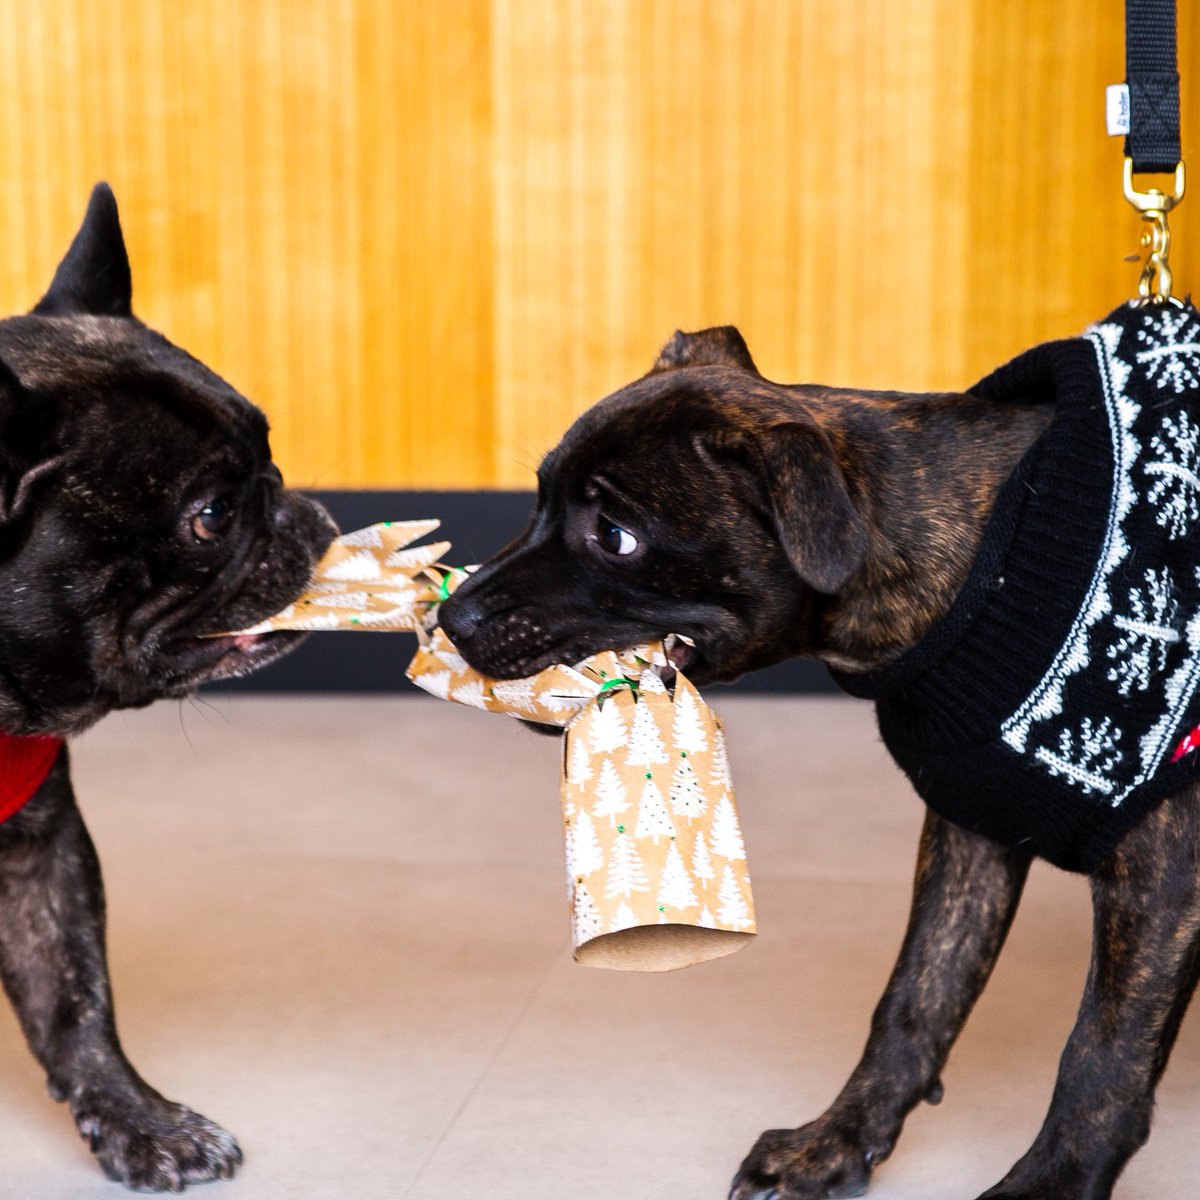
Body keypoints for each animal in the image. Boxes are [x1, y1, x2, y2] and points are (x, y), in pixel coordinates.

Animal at [0, 187, 336, 1190]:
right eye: (212, 516)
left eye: (269, 447)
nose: (308, 512)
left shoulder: (44, 848)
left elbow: (74, 997)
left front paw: (138, 1122)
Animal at [441, 316, 1200, 1200]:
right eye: (538, 499)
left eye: (617, 537)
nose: (451, 617)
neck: (983, 567)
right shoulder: (970, 833)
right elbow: (918, 996)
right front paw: (834, 1144)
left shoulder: (1162, 872)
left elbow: (1103, 1053)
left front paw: (1050, 1185)